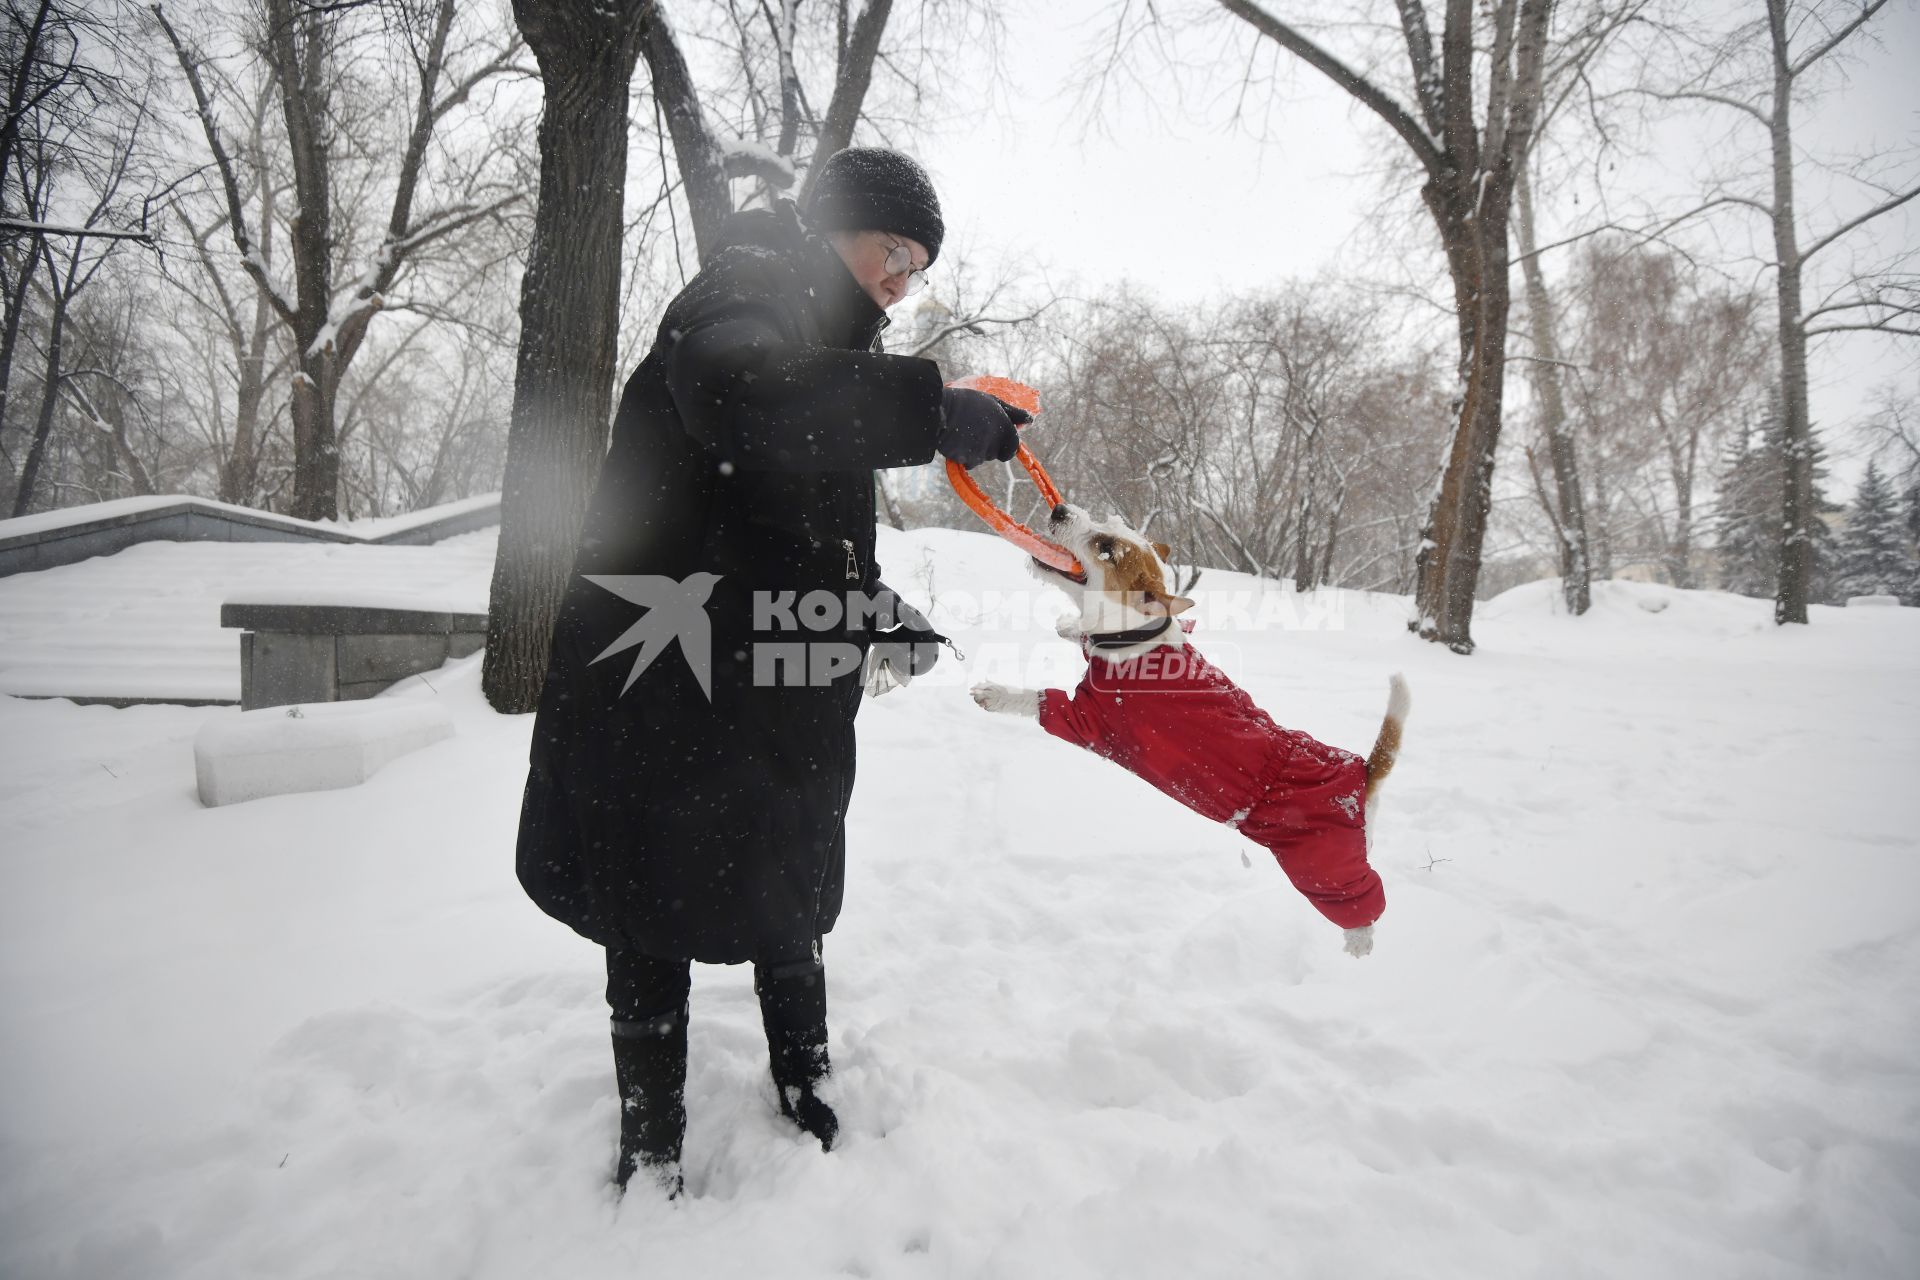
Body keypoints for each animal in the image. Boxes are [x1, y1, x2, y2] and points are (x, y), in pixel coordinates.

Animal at [975, 506, 1413, 955]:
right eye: (1109, 521)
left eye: (1106, 548)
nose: (1060, 509)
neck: (1134, 640)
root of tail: (1361, 772)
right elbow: (1080, 635)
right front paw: (1068, 626)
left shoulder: (1085, 718)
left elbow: (1037, 699)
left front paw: (996, 694)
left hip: (1322, 866)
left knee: (1364, 897)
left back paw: (1360, 939)